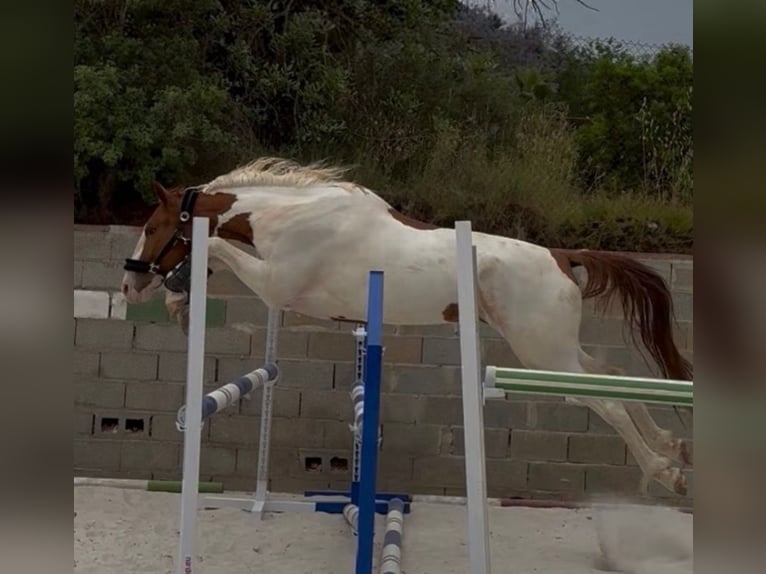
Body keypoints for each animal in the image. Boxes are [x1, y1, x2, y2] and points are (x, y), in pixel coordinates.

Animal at [121, 157, 693, 496]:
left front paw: (177, 296)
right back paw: (670, 445)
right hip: (553, 348)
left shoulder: (275, 287)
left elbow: (215, 245)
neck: (292, 217)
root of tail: (562, 255)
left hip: (541, 353)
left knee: (605, 400)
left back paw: (665, 472)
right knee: (613, 375)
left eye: (151, 227)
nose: (129, 286)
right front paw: (178, 300)